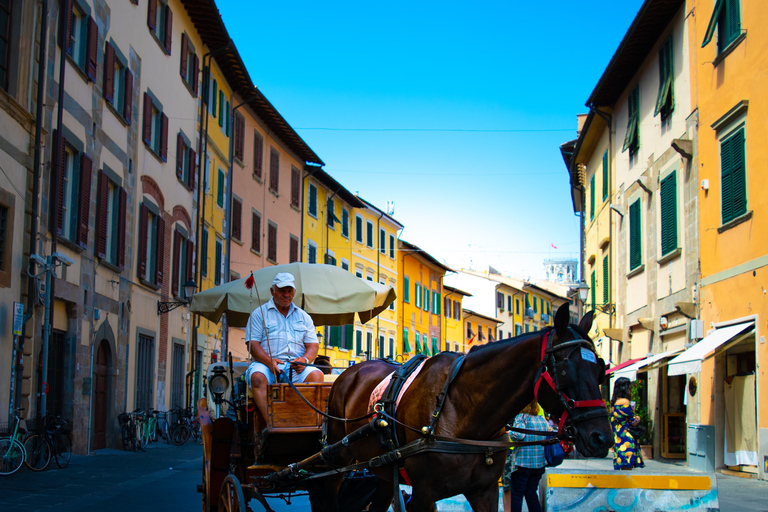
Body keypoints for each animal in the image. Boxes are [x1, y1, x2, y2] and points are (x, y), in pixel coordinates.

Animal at [320, 302, 616, 510]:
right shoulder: (423, 494)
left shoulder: (485, 492)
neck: (461, 410)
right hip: (336, 458)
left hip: (382, 469)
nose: (602, 438)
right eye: (566, 370)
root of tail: (348, 373)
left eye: (600, 370)